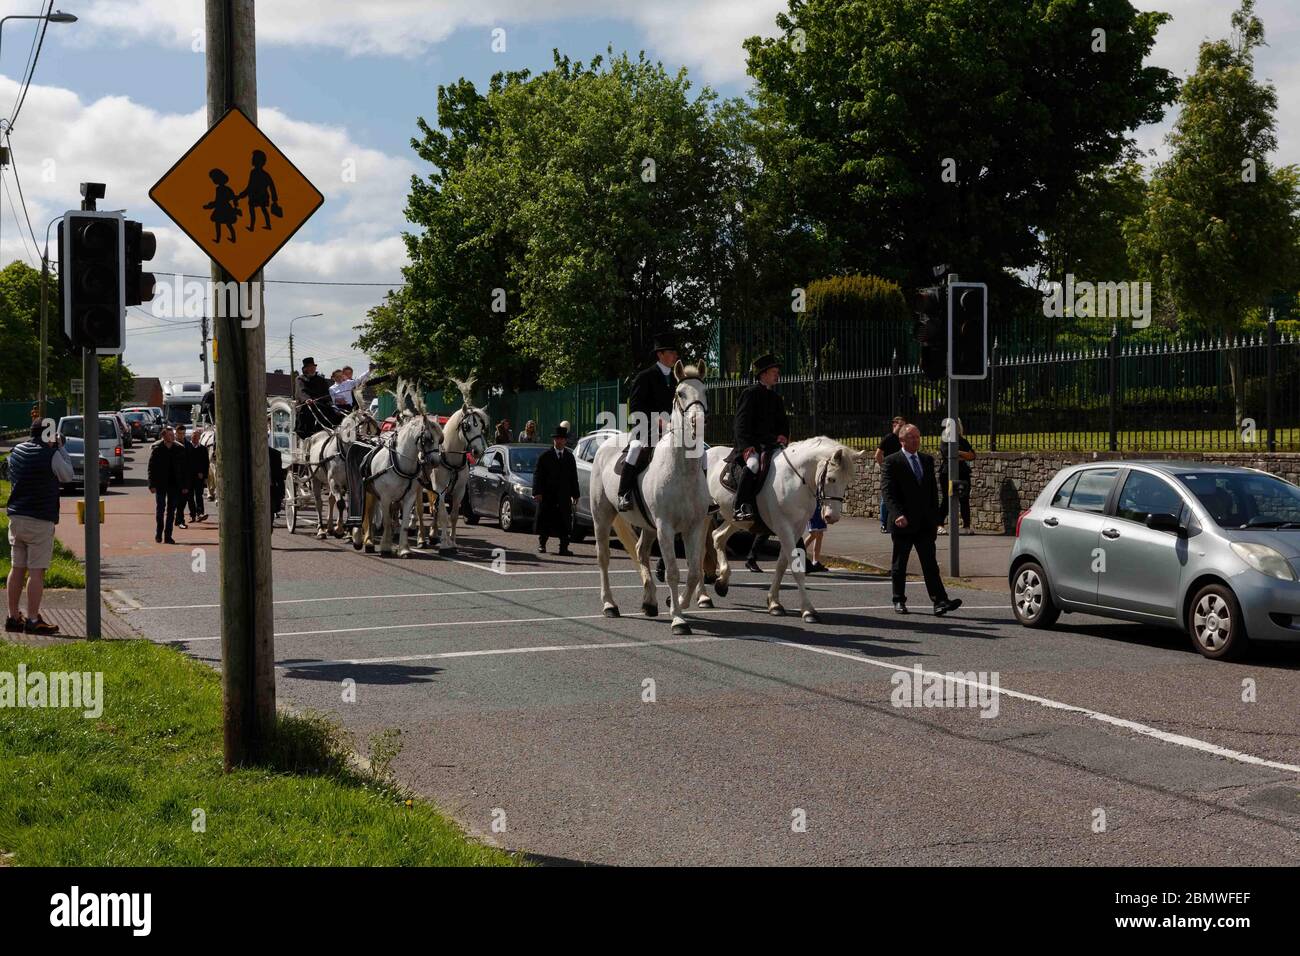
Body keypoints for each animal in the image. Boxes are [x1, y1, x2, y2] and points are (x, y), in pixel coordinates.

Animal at [590, 358, 712, 634]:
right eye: (680, 393)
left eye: (704, 392)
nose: (698, 423)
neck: (682, 470)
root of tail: (604, 446)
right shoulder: (665, 527)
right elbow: (673, 572)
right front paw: (678, 619)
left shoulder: (694, 526)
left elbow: (694, 572)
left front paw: (677, 602)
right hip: (602, 515)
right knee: (604, 557)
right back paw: (609, 605)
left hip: (647, 525)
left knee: (641, 551)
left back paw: (649, 602)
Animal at [702, 437, 863, 624]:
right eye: (831, 479)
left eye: (848, 481)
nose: (833, 517)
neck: (795, 478)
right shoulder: (783, 526)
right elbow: (796, 567)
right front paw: (808, 610)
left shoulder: (796, 528)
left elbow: (781, 565)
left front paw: (774, 603)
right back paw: (703, 597)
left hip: (736, 520)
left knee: (718, 537)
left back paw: (721, 583)